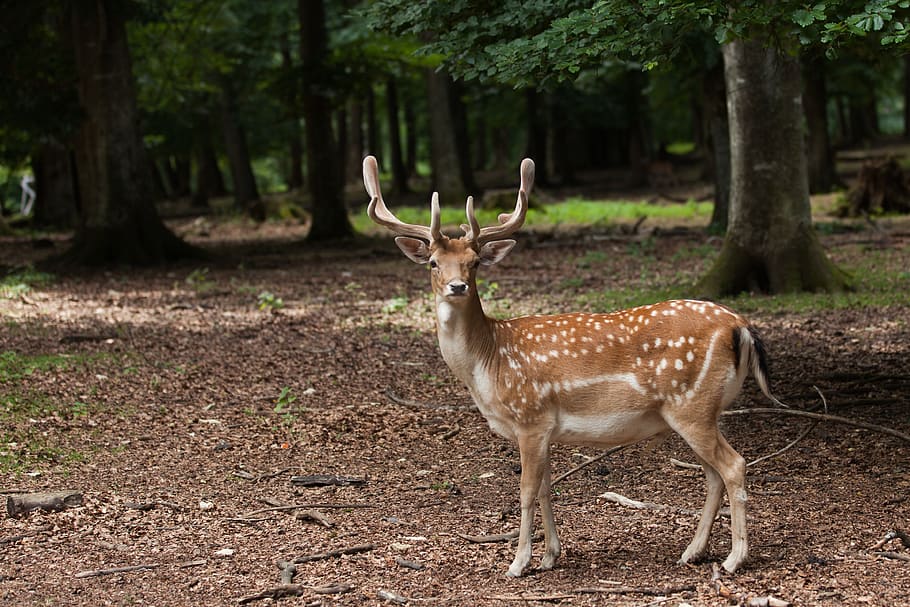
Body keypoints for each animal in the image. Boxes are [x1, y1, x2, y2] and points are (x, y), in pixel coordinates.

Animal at [363, 155, 782, 577]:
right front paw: (550, 555)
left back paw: (734, 558)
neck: (489, 364)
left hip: (692, 405)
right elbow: (547, 489)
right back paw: (692, 552)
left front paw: (519, 563)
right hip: (704, 409)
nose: (457, 286)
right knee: (713, 474)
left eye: (475, 262)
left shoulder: (531, 417)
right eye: (433, 263)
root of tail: (740, 325)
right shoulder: (546, 430)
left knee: (733, 466)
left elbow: (526, 491)